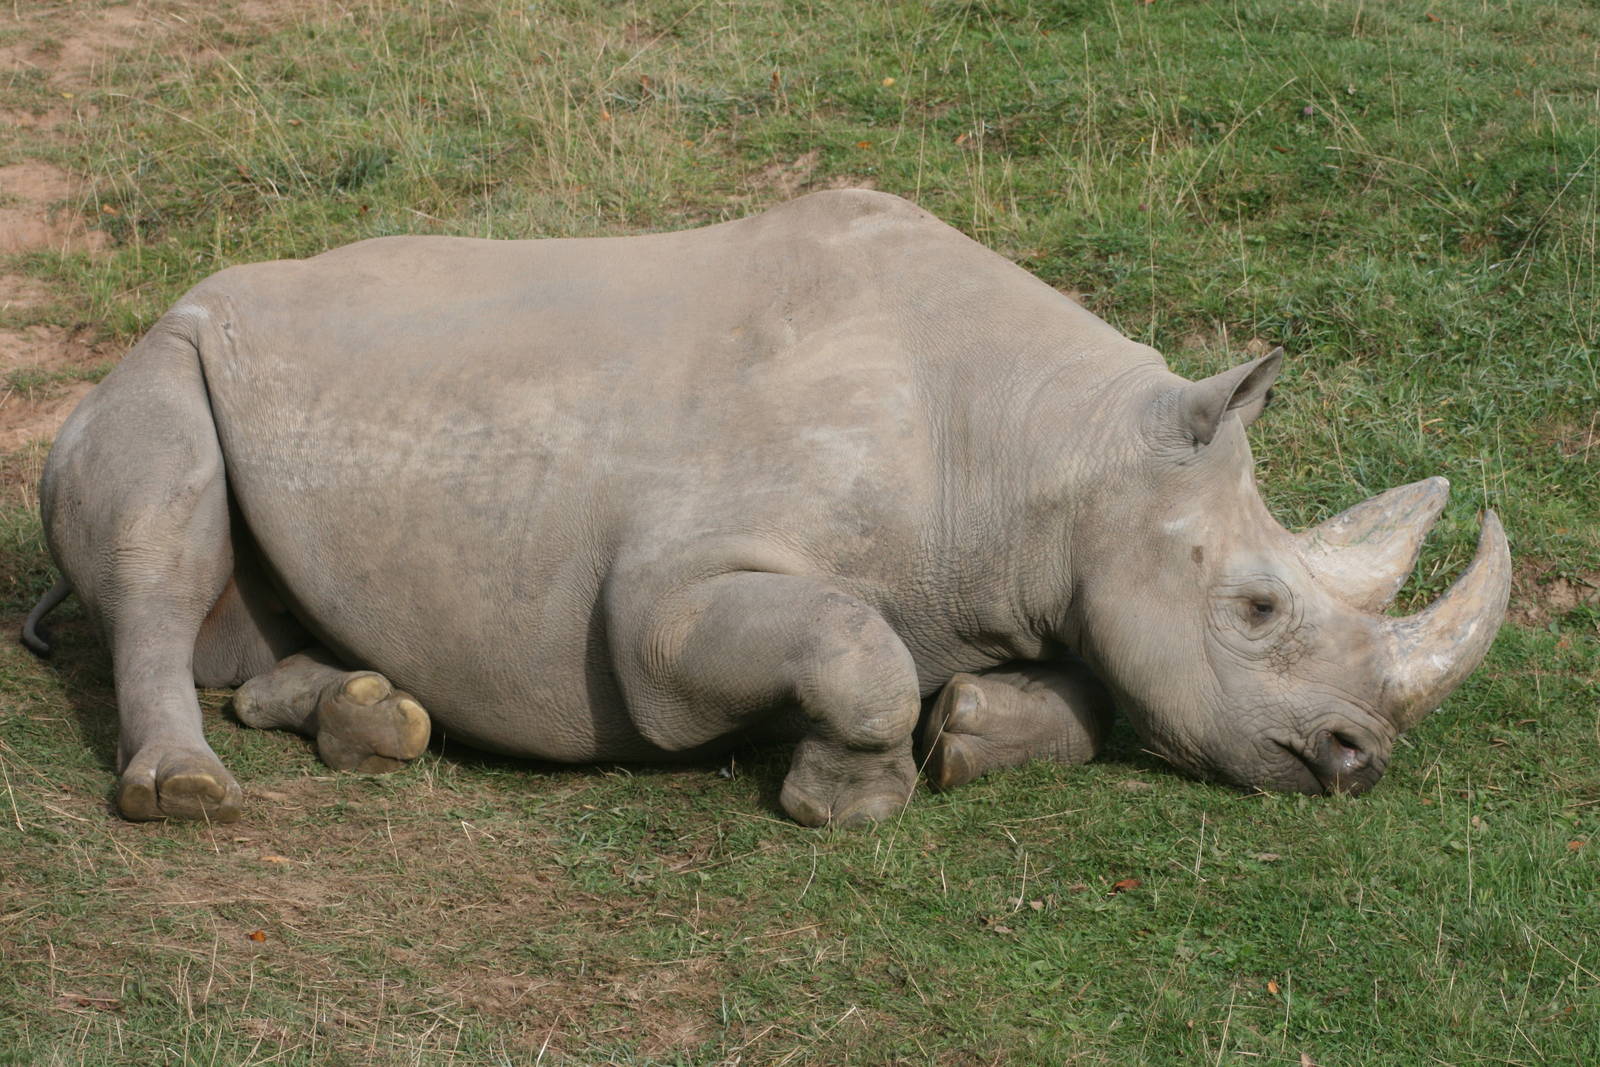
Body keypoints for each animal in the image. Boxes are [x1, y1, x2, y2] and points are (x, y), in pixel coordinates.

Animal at [22, 189, 1510, 826]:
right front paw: (844, 800)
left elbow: (1085, 680)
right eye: (1254, 607)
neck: (1053, 454)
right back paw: (188, 796)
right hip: (166, 353)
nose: (1359, 759)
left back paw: (372, 720)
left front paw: (972, 731)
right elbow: (852, 647)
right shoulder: (660, 602)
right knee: (157, 537)